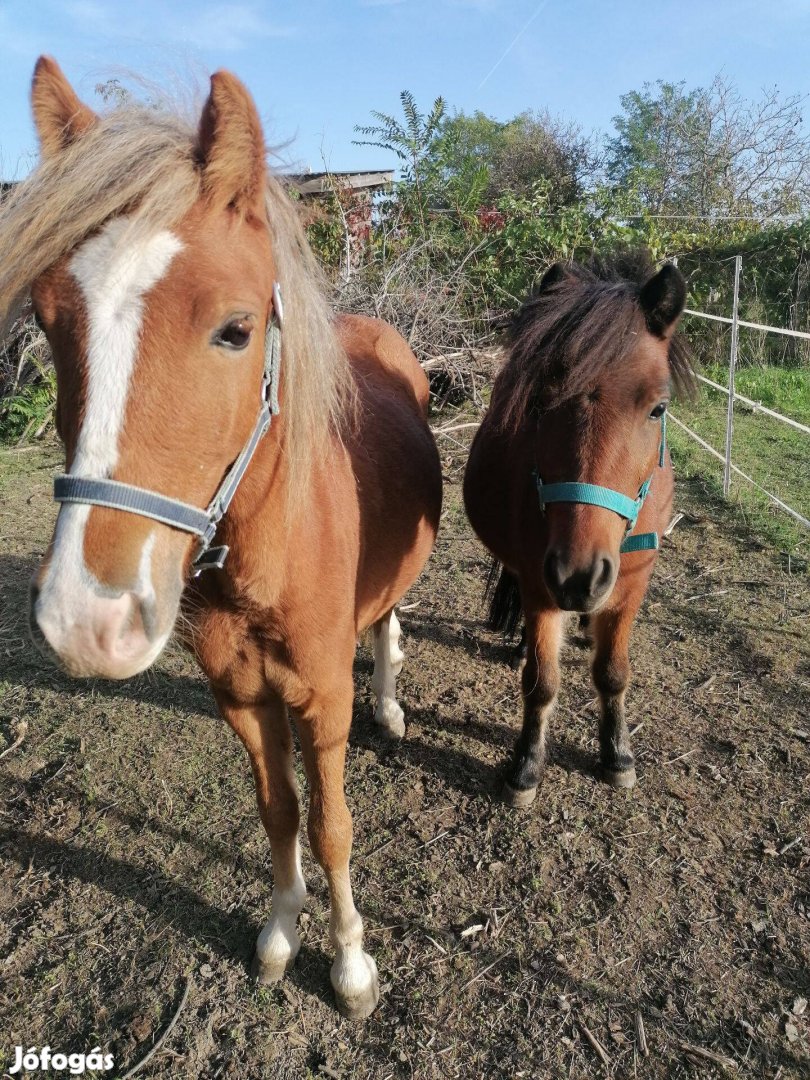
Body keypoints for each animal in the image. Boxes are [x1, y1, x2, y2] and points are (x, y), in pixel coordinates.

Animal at [1, 56, 444, 1019]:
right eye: (48, 323)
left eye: (236, 329)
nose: (87, 619)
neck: (267, 554)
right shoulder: (240, 695)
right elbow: (278, 811)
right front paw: (281, 932)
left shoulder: (321, 700)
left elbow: (332, 823)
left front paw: (352, 964)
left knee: (390, 620)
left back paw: (393, 700)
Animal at [466, 257, 695, 807]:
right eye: (538, 404)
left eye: (658, 408)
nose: (578, 577)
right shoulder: (538, 584)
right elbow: (541, 682)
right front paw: (527, 765)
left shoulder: (632, 582)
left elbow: (612, 674)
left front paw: (617, 754)